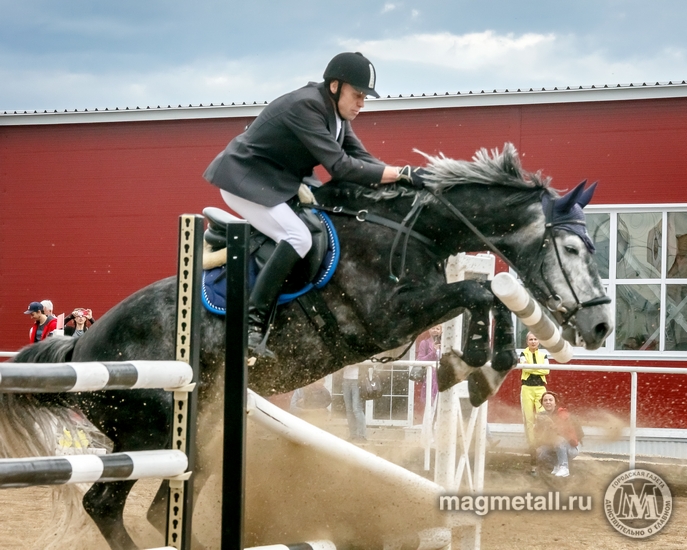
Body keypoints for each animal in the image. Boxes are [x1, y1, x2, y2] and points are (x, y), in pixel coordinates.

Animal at [5, 144, 612, 548]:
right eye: (572, 249)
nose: (603, 326)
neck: (409, 228)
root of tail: (82, 346)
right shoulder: (386, 319)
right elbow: (482, 290)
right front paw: (478, 365)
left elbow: (487, 298)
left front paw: (471, 366)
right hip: (149, 427)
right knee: (103, 503)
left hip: (198, 427)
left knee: (162, 506)